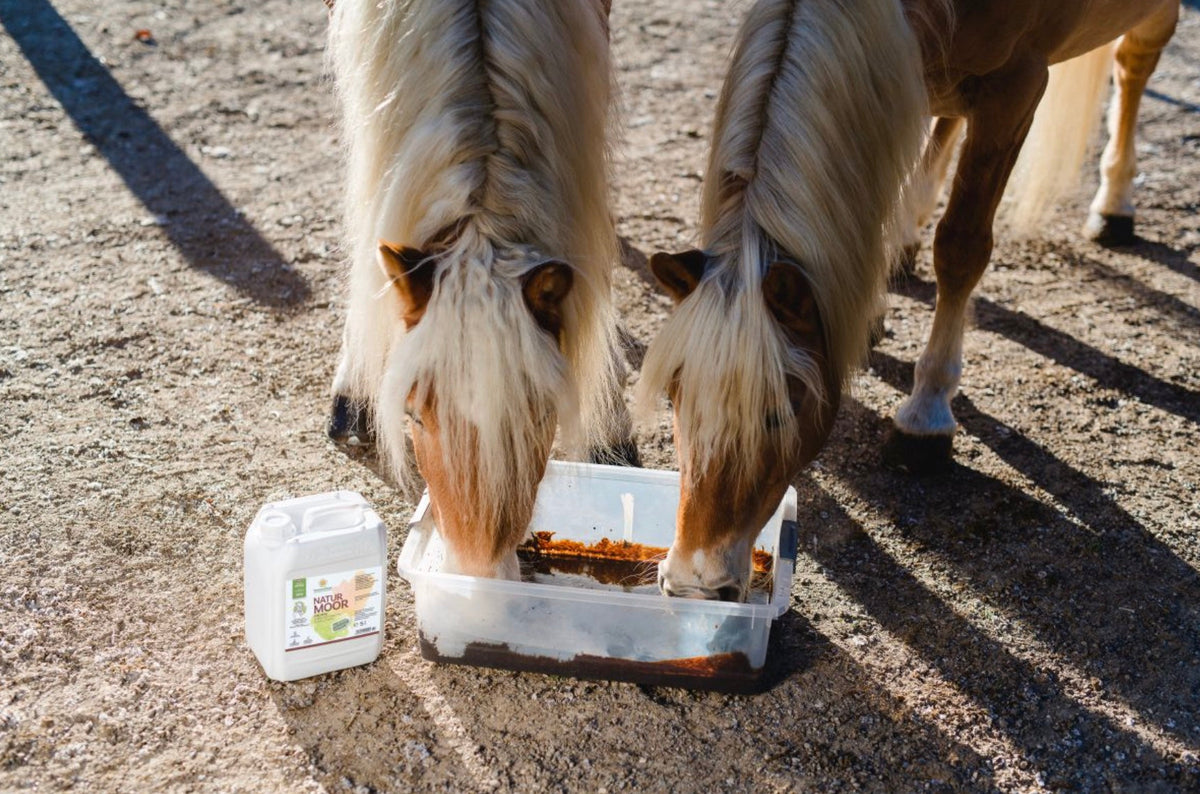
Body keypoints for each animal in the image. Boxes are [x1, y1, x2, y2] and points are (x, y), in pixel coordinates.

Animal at [638, 0, 1180, 601]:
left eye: (781, 413)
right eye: (675, 397)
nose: (694, 584)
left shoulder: (1016, 89)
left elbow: (962, 246)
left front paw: (927, 412)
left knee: (1133, 65)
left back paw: (1115, 205)